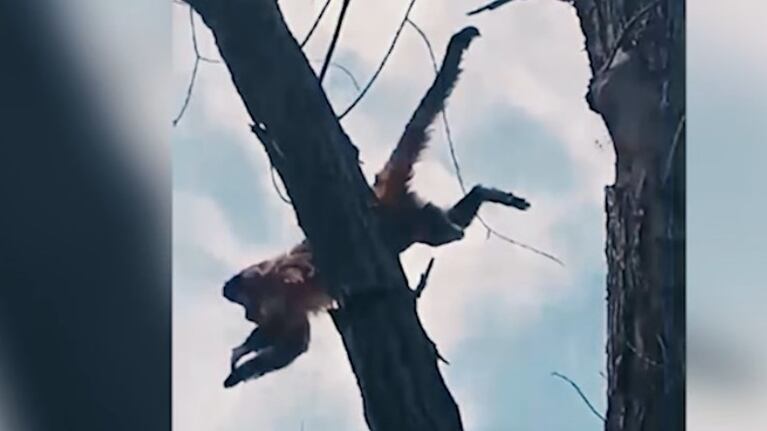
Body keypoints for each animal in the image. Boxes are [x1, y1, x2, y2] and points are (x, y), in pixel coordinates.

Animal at [221, 26, 530, 388]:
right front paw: (239, 361)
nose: (247, 314)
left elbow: (299, 320)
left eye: (243, 302)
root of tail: (379, 196)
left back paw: (457, 223)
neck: (266, 282)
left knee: (441, 233)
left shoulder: (281, 279)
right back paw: (481, 195)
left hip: (400, 214)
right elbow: (293, 342)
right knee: (434, 229)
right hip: (409, 216)